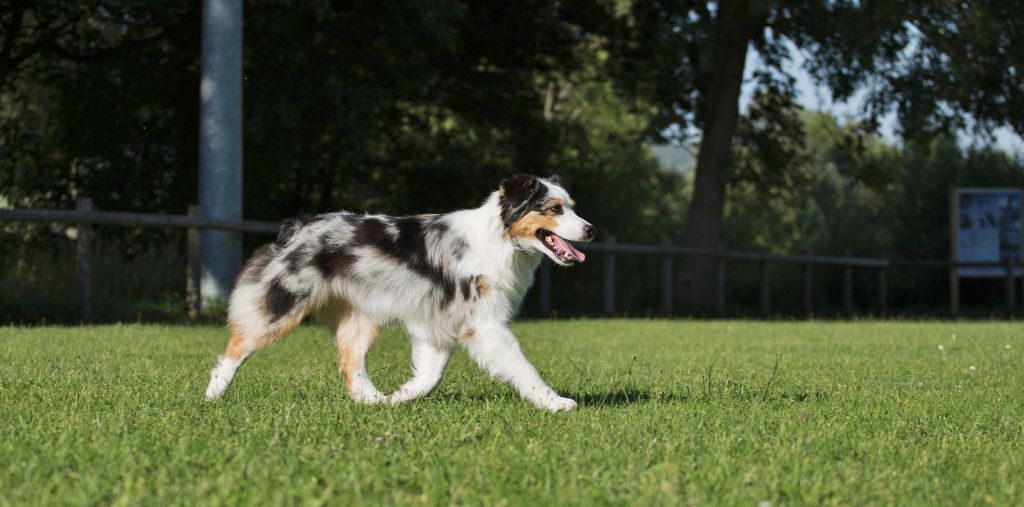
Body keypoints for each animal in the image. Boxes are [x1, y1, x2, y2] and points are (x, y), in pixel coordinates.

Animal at [200, 174, 598, 413]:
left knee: (351, 362)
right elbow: (523, 367)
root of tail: (296, 226)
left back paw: (373, 400)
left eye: (572, 206)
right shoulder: (485, 325)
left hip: (363, 316)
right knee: (234, 349)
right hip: (283, 303)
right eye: (554, 209)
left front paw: (400, 398)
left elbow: (430, 376)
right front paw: (555, 402)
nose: (591, 230)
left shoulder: (437, 326)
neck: (500, 239)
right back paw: (212, 397)